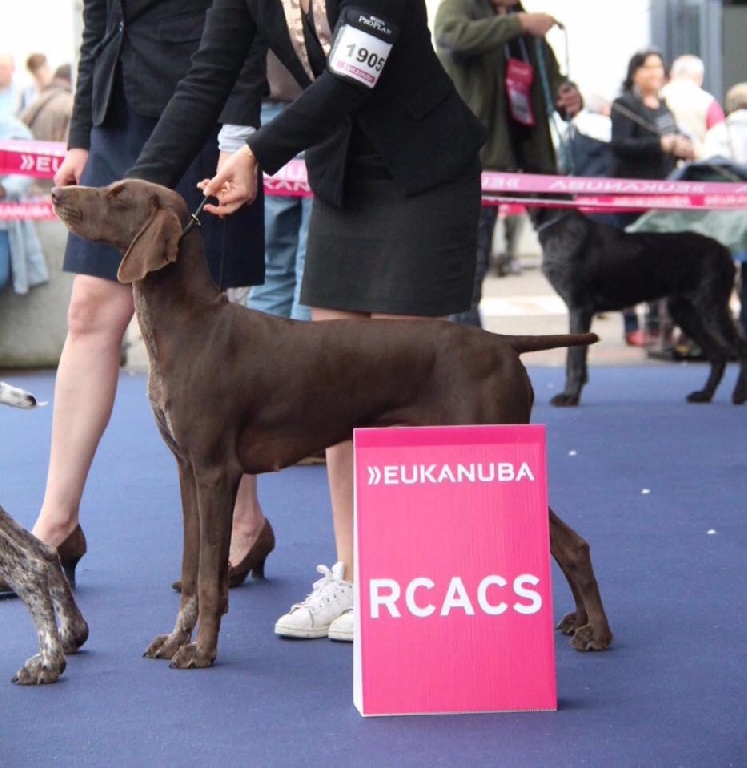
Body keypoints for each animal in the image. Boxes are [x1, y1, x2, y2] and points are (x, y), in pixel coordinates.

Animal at [51, 178, 612, 664]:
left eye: (117, 194)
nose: (57, 192)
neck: (190, 325)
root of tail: (503, 342)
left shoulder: (216, 473)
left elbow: (210, 579)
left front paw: (202, 652)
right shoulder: (189, 472)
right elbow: (192, 575)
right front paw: (175, 640)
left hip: (496, 451)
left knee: (573, 544)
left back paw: (598, 632)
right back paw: (578, 621)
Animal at [532, 204, 747, 408]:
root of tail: (725, 250)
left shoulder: (579, 308)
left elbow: (574, 358)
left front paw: (570, 397)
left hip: (711, 306)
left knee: (739, 346)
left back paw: (738, 395)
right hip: (685, 311)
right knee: (718, 354)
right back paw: (704, 395)